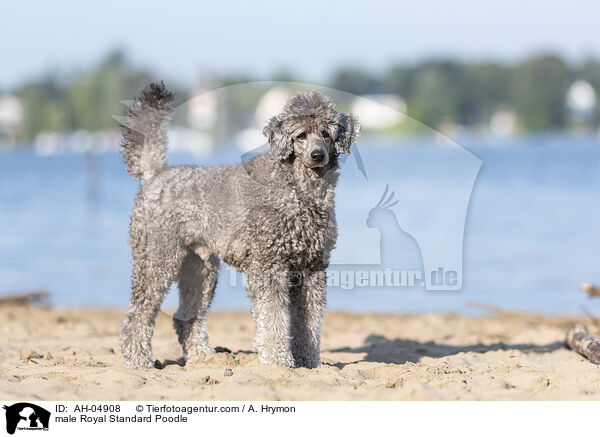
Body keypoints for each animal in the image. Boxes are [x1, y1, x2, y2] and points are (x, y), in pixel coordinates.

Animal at [119, 82, 358, 368]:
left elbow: (309, 321)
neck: (297, 188)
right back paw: (137, 360)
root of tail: (156, 175)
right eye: (300, 135)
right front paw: (277, 359)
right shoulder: (268, 266)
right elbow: (273, 317)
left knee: (187, 316)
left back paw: (203, 357)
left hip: (200, 268)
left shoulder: (312, 268)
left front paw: (309, 362)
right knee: (139, 313)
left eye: (326, 133)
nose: (317, 155)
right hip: (157, 259)